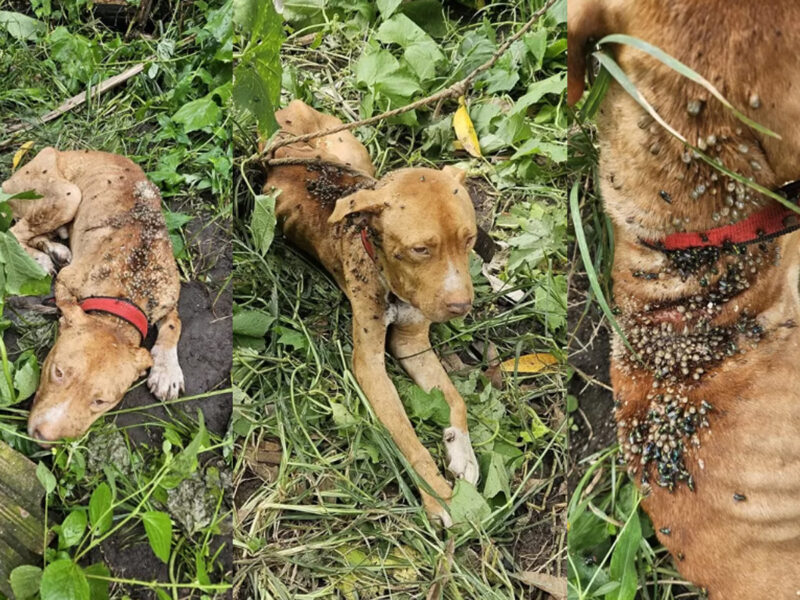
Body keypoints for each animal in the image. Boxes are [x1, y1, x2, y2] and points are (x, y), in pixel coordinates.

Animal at [1, 148, 184, 442]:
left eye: (100, 401)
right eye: (58, 372)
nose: (44, 436)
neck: (126, 297)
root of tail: (56, 150)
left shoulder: (168, 296)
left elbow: (174, 324)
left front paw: (167, 369)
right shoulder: (67, 282)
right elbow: (65, 303)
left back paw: (54, 249)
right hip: (67, 195)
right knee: (13, 232)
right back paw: (40, 258)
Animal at [266, 101, 482, 528]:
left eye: (470, 239)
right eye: (420, 249)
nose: (461, 306)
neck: (389, 276)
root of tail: (290, 113)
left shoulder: (413, 344)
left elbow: (455, 398)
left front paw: (461, 450)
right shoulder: (368, 365)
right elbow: (407, 437)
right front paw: (439, 496)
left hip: (356, 158)